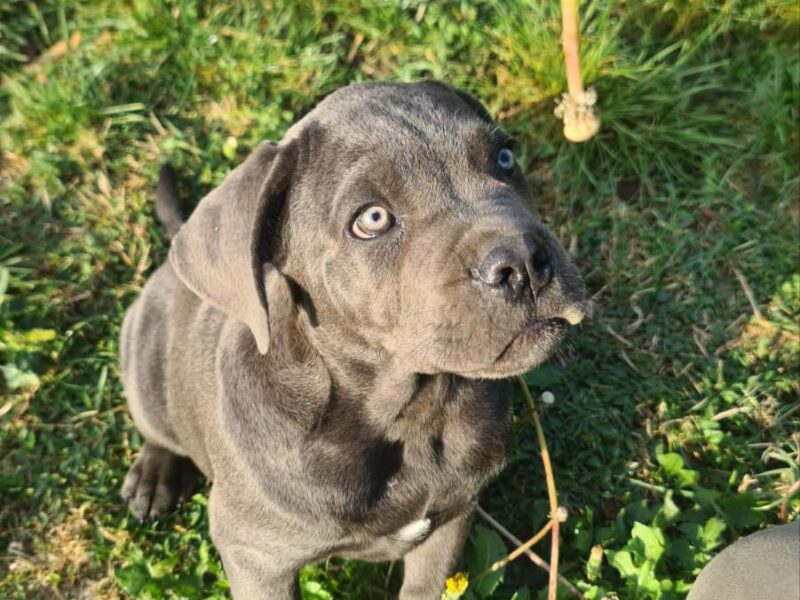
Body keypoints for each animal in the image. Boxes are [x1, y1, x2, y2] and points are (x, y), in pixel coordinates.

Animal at [122, 81, 592, 600]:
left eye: (505, 158)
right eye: (373, 219)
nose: (523, 262)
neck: (410, 412)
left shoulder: (451, 520)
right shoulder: (255, 557)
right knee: (155, 426)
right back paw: (153, 475)